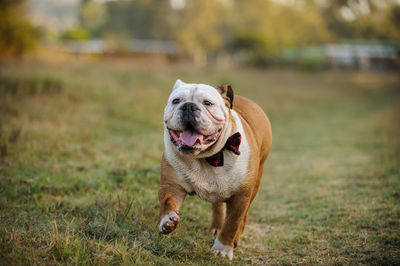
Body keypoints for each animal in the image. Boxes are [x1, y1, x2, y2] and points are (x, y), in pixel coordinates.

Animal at [156, 80, 272, 260]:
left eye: (207, 103)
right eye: (176, 101)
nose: (188, 106)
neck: (208, 157)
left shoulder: (241, 197)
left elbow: (232, 223)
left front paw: (223, 249)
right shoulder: (172, 186)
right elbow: (168, 201)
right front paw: (168, 221)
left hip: (254, 184)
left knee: (243, 217)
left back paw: (235, 239)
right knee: (218, 205)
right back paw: (216, 227)